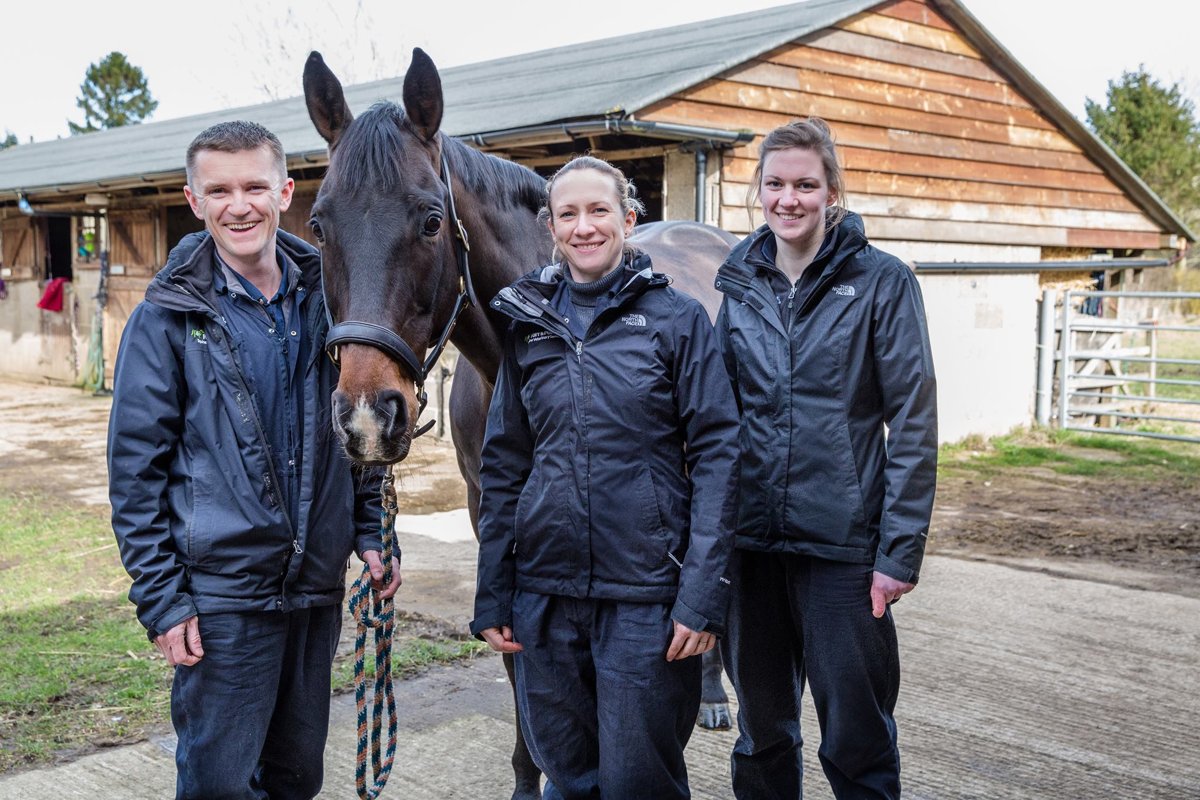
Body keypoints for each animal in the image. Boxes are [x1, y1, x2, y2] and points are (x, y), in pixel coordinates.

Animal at [304, 48, 734, 800]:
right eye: (320, 225)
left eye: (430, 220)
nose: (365, 417)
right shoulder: (493, 512)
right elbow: (519, 664)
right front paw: (530, 778)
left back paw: (712, 696)